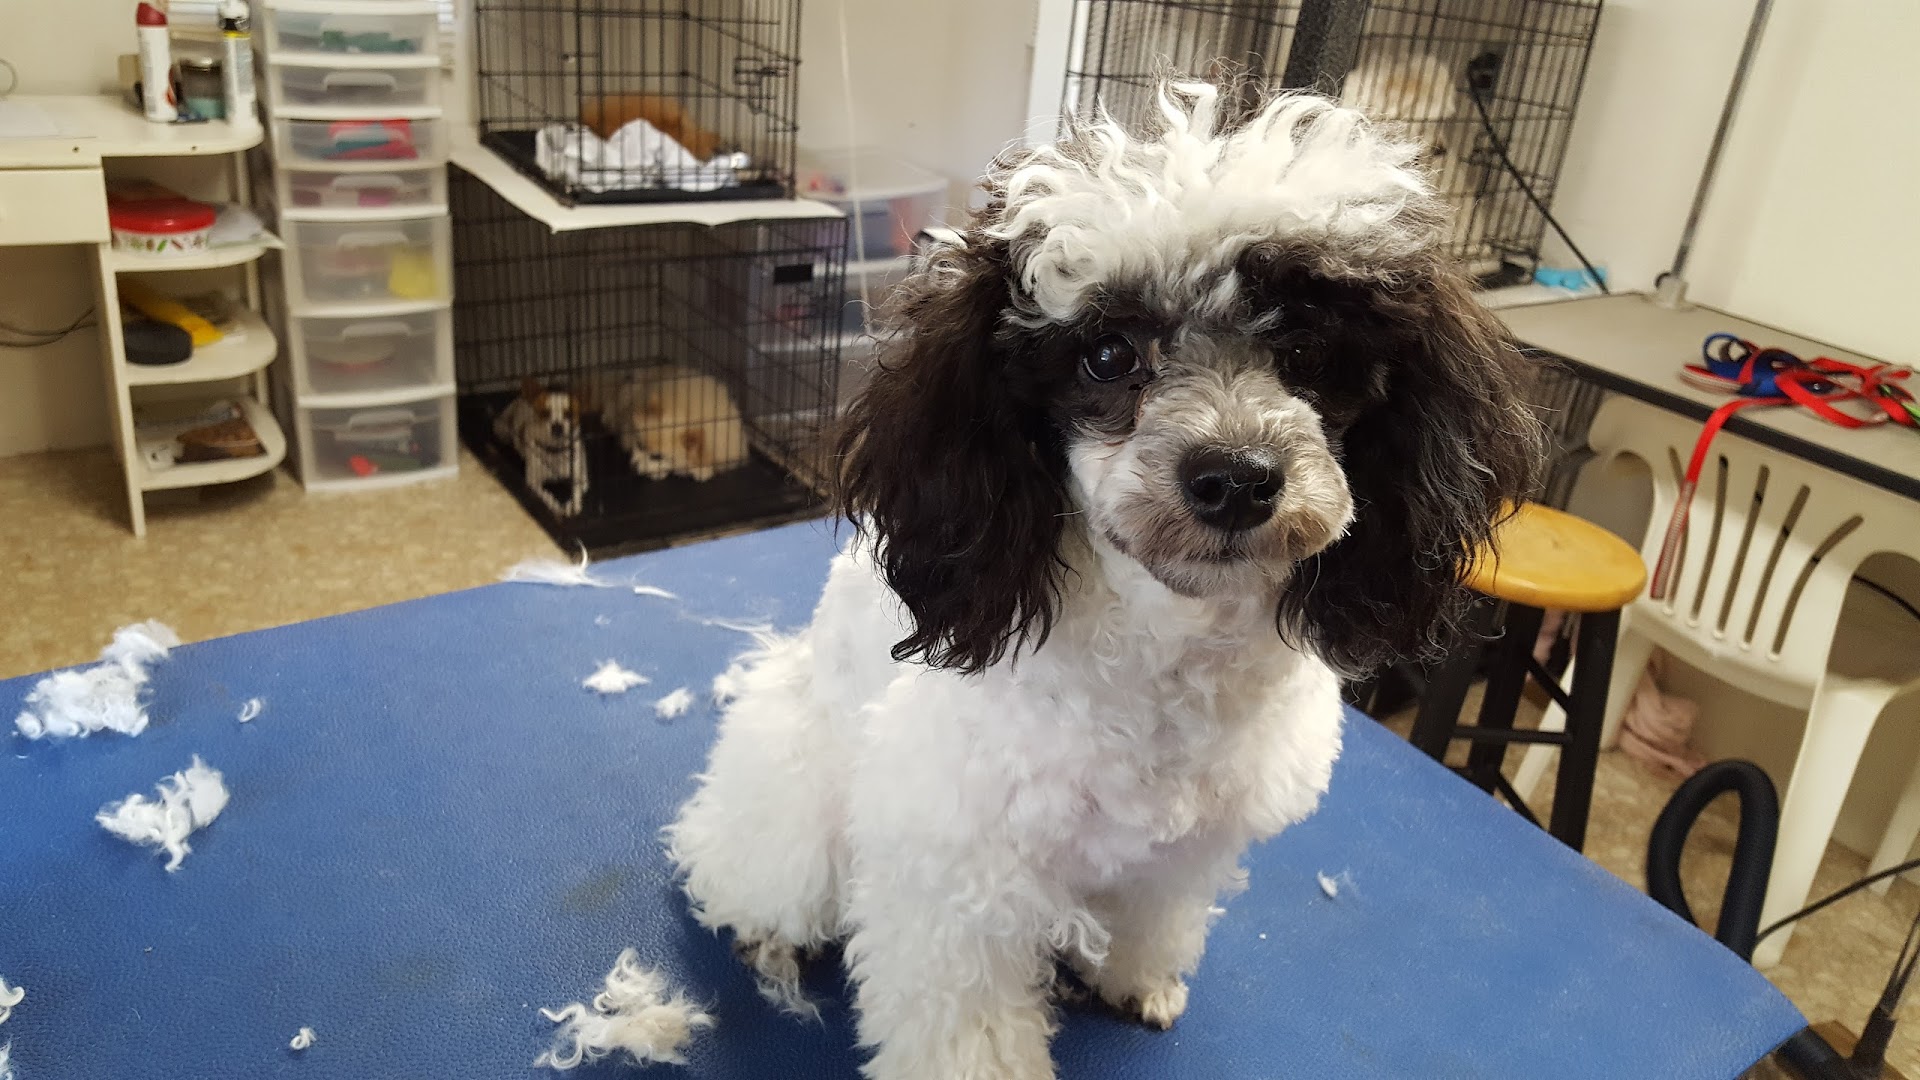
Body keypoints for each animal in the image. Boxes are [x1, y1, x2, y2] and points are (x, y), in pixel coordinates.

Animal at [492, 378, 588, 517]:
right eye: (545, 413)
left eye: (568, 414)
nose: (557, 426)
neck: (555, 451)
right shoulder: (533, 482)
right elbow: (546, 496)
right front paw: (555, 506)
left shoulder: (581, 479)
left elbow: (577, 491)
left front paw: (572, 506)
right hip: (501, 427)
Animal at [665, 81, 1542, 1080]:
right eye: (1109, 355)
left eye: (1309, 356)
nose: (1235, 477)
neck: (1166, 654)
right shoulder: (956, 867)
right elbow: (965, 1023)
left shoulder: (1182, 852)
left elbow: (1154, 916)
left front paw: (1132, 977)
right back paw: (767, 933)